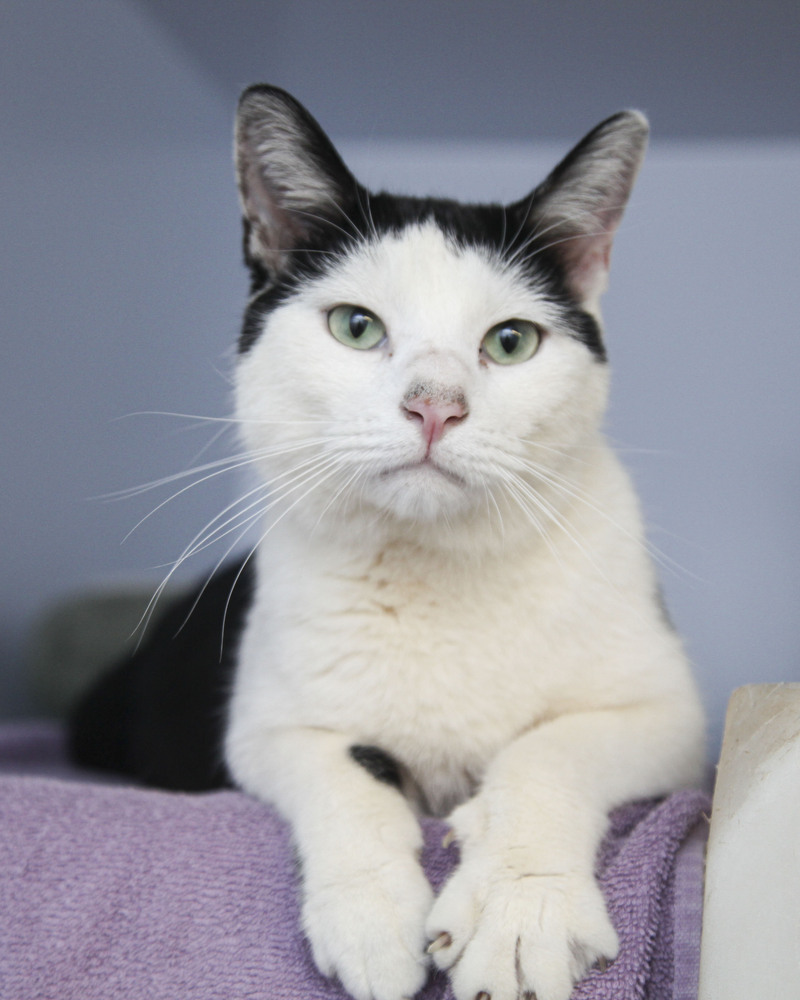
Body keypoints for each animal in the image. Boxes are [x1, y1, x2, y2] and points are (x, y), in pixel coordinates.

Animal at [70, 84, 708, 1000]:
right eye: (356, 327)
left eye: (511, 341)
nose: (435, 403)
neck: (437, 567)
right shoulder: (266, 727)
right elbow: (344, 773)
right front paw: (373, 916)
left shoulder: (668, 719)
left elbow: (550, 748)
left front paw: (522, 910)